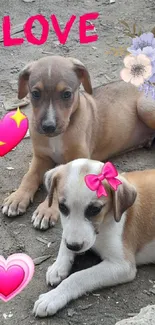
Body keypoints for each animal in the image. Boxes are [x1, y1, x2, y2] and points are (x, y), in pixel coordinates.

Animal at [1, 55, 155, 228]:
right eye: (35, 93)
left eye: (67, 94)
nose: (48, 127)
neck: (58, 136)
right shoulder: (41, 157)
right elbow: (29, 176)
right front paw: (17, 197)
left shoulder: (78, 161)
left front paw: (46, 210)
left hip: (144, 107)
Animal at [33, 159, 155, 316]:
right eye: (62, 207)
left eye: (95, 209)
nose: (74, 246)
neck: (103, 226)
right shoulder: (70, 235)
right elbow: (64, 240)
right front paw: (58, 266)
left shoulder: (123, 265)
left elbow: (79, 276)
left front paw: (53, 297)